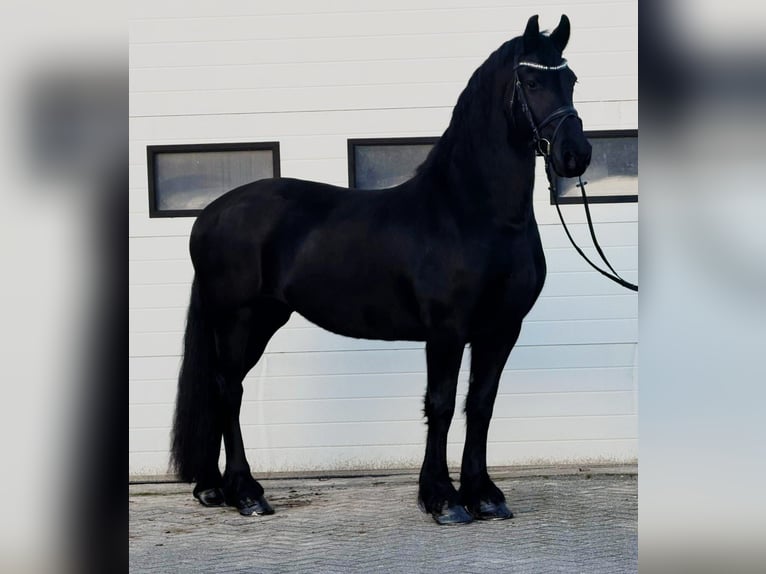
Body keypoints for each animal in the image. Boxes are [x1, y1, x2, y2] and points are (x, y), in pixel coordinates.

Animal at [171, 14, 592, 525]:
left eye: (571, 80)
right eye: (531, 81)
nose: (576, 154)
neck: (472, 212)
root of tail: (210, 213)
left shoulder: (502, 328)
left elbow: (481, 405)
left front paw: (485, 495)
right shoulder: (447, 330)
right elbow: (441, 405)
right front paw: (443, 500)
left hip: (263, 318)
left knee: (220, 390)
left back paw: (214, 488)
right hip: (239, 319)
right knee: (228, 389)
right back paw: (247, 494)